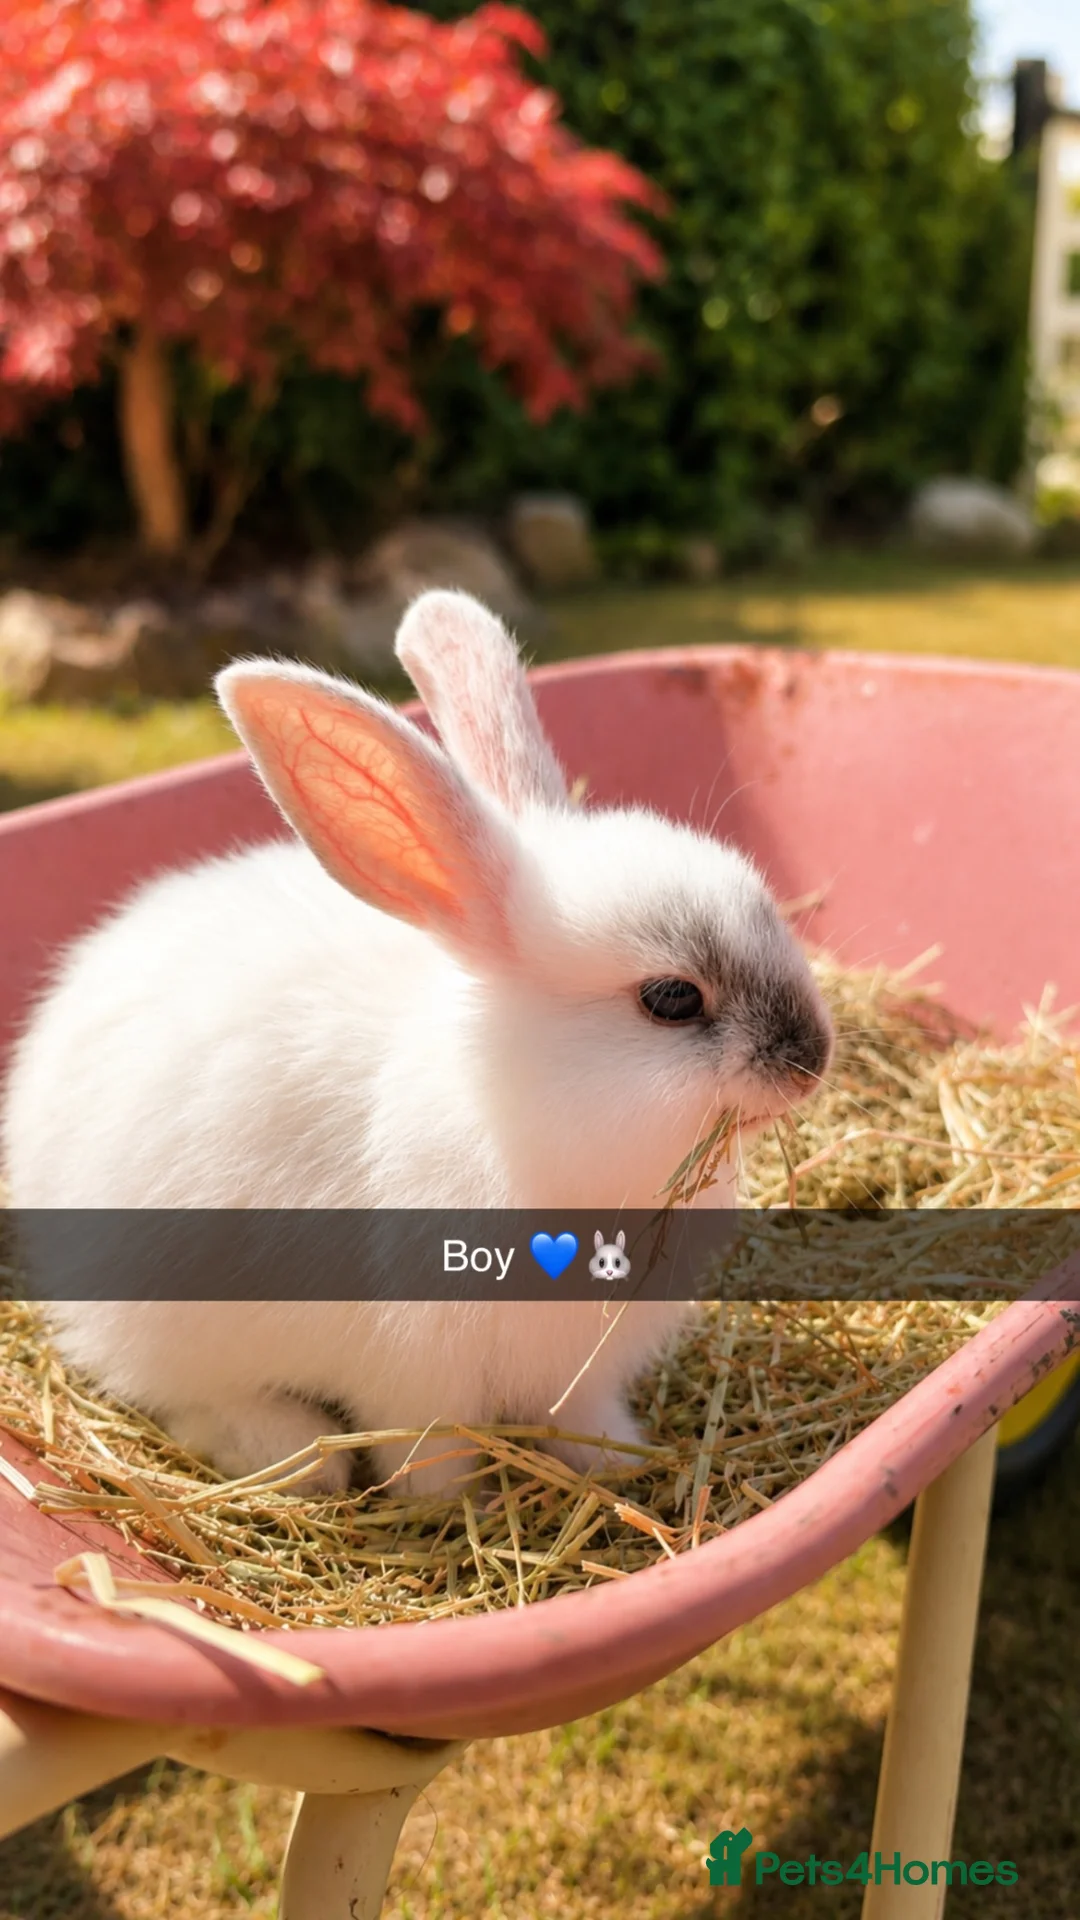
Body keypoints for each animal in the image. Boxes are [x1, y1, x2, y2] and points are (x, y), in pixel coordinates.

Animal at [1, 589, 834, 1498]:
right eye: (671, 999)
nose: (813, 1060)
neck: (513, 1113)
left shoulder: (578, 1373)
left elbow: (581, 1422)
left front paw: (616, 1463)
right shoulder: (413, 1373)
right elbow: (428, 1451)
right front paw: (443, 1505)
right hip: (162, 1323)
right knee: (186, 1399)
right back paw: (298, 1456)